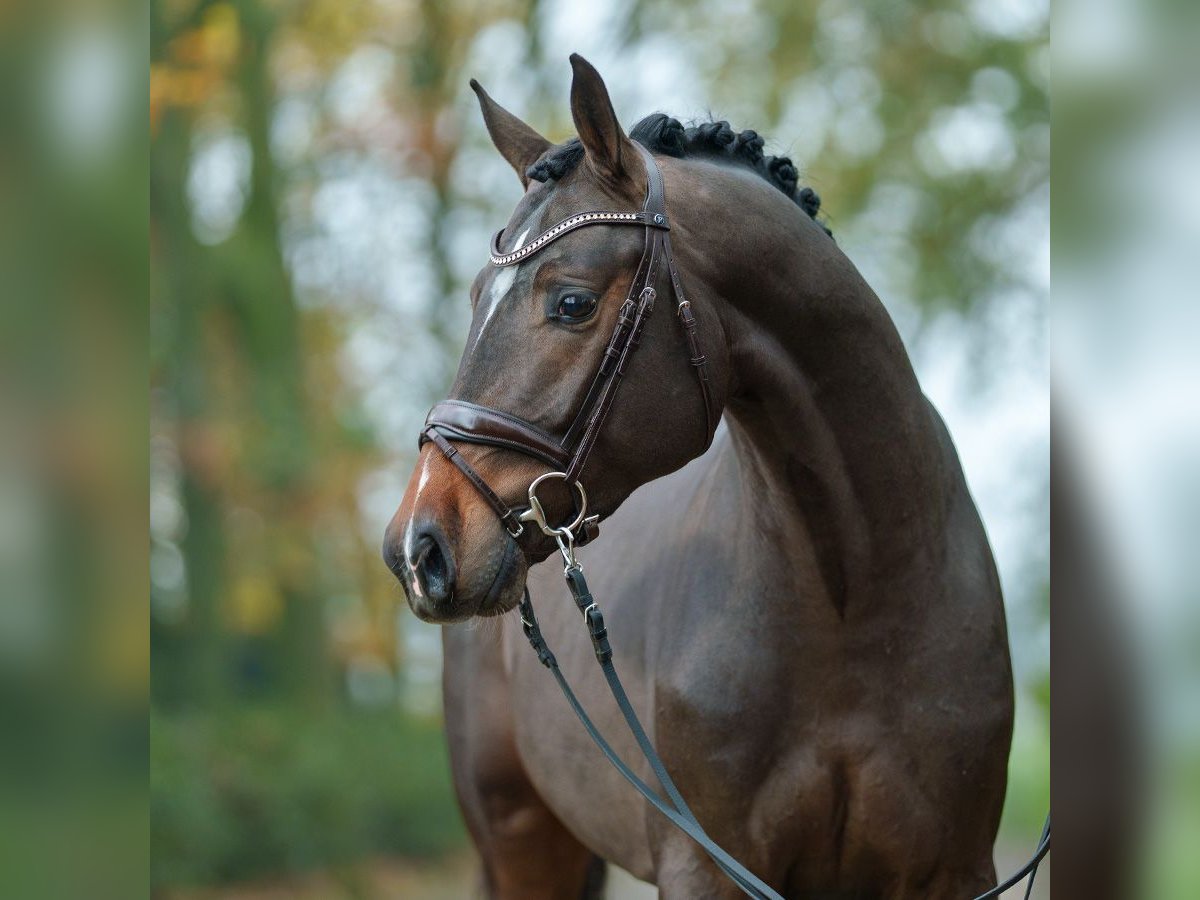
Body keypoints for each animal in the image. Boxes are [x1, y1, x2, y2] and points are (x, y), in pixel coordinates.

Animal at [381, 56, 1012, 900]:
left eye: (572, 302)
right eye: (479, 297)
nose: (417, 549)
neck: (854, 610)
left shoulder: (957, 871)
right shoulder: (706, 866)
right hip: (519, 842)